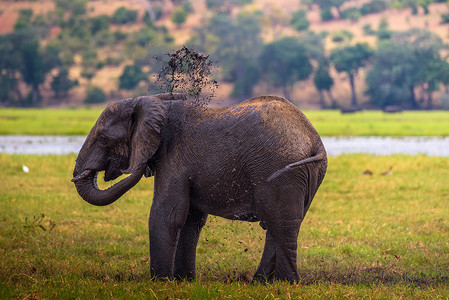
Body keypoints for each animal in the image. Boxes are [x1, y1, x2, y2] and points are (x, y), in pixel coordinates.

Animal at [72, 92, 326, 282]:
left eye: (104, 138)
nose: (134, 168)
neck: (155, 105)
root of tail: (315, 140)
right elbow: (191, 220)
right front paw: (183, 281)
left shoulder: (174, 158)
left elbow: (166, 215)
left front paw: (160, 282)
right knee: (278, 224)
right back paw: (260, 282)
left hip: (280, 169)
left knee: (281, 223)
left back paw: (285, 283)